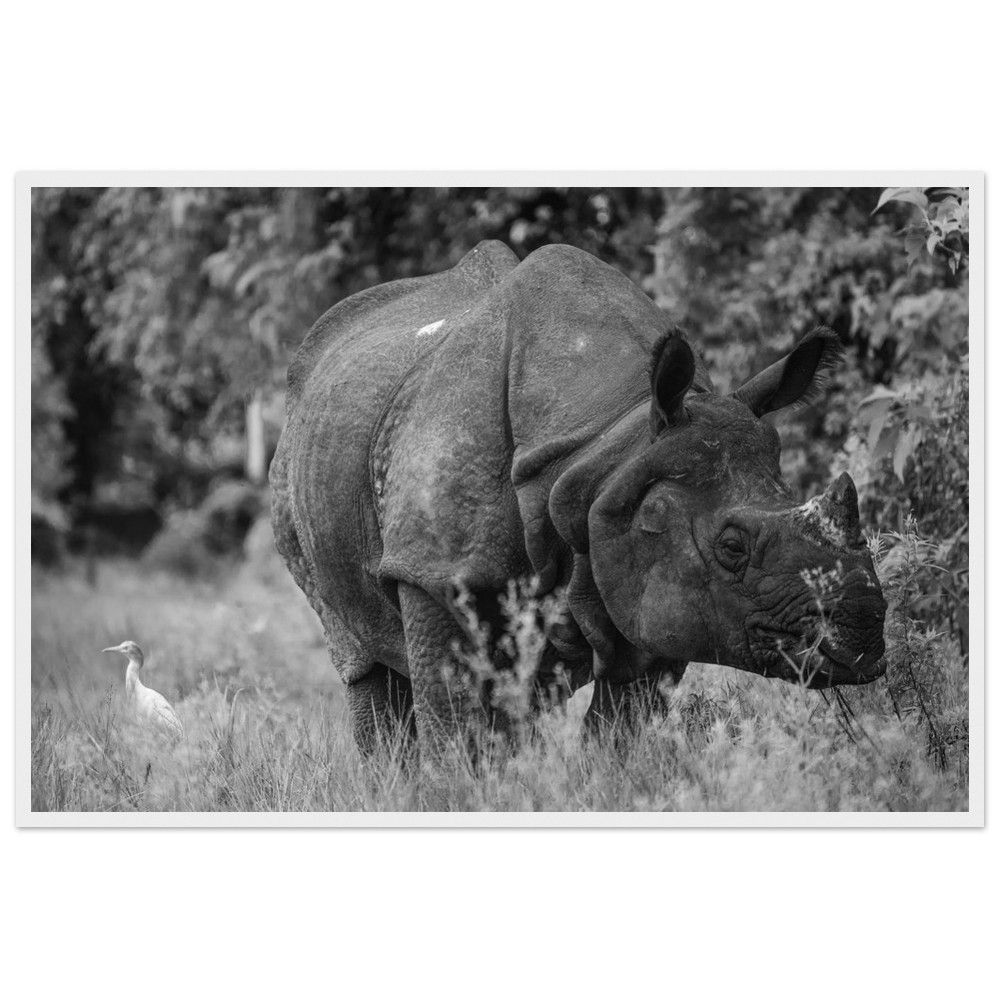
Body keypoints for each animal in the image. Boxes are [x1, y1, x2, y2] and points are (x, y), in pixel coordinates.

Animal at [270, 241, 886, 753]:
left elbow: (620, 736)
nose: (863, 627)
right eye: (732, 547)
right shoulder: (432, 568)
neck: (609, 439)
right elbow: (452, 726)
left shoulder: (648, 578)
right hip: (296, 469)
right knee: (363, 658)